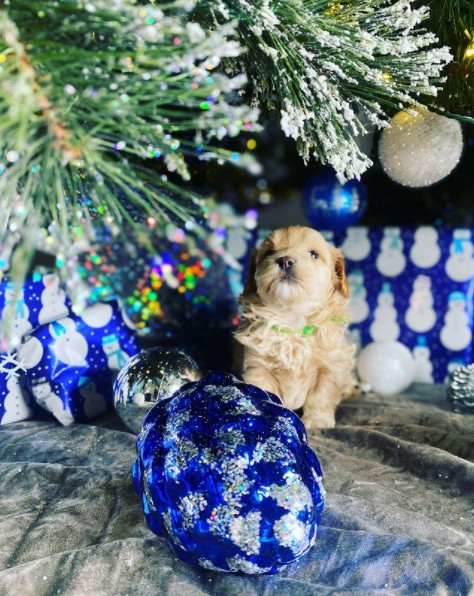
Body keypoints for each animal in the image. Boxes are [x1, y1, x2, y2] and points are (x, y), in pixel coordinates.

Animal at [233, 225, 356, 428]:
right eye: (270, 252)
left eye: (314, 254)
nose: (285, 260)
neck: (293, 320)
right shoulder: (258, 367)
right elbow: (266, 395)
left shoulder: (331, 367)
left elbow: (321, 395)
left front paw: (317, 420)